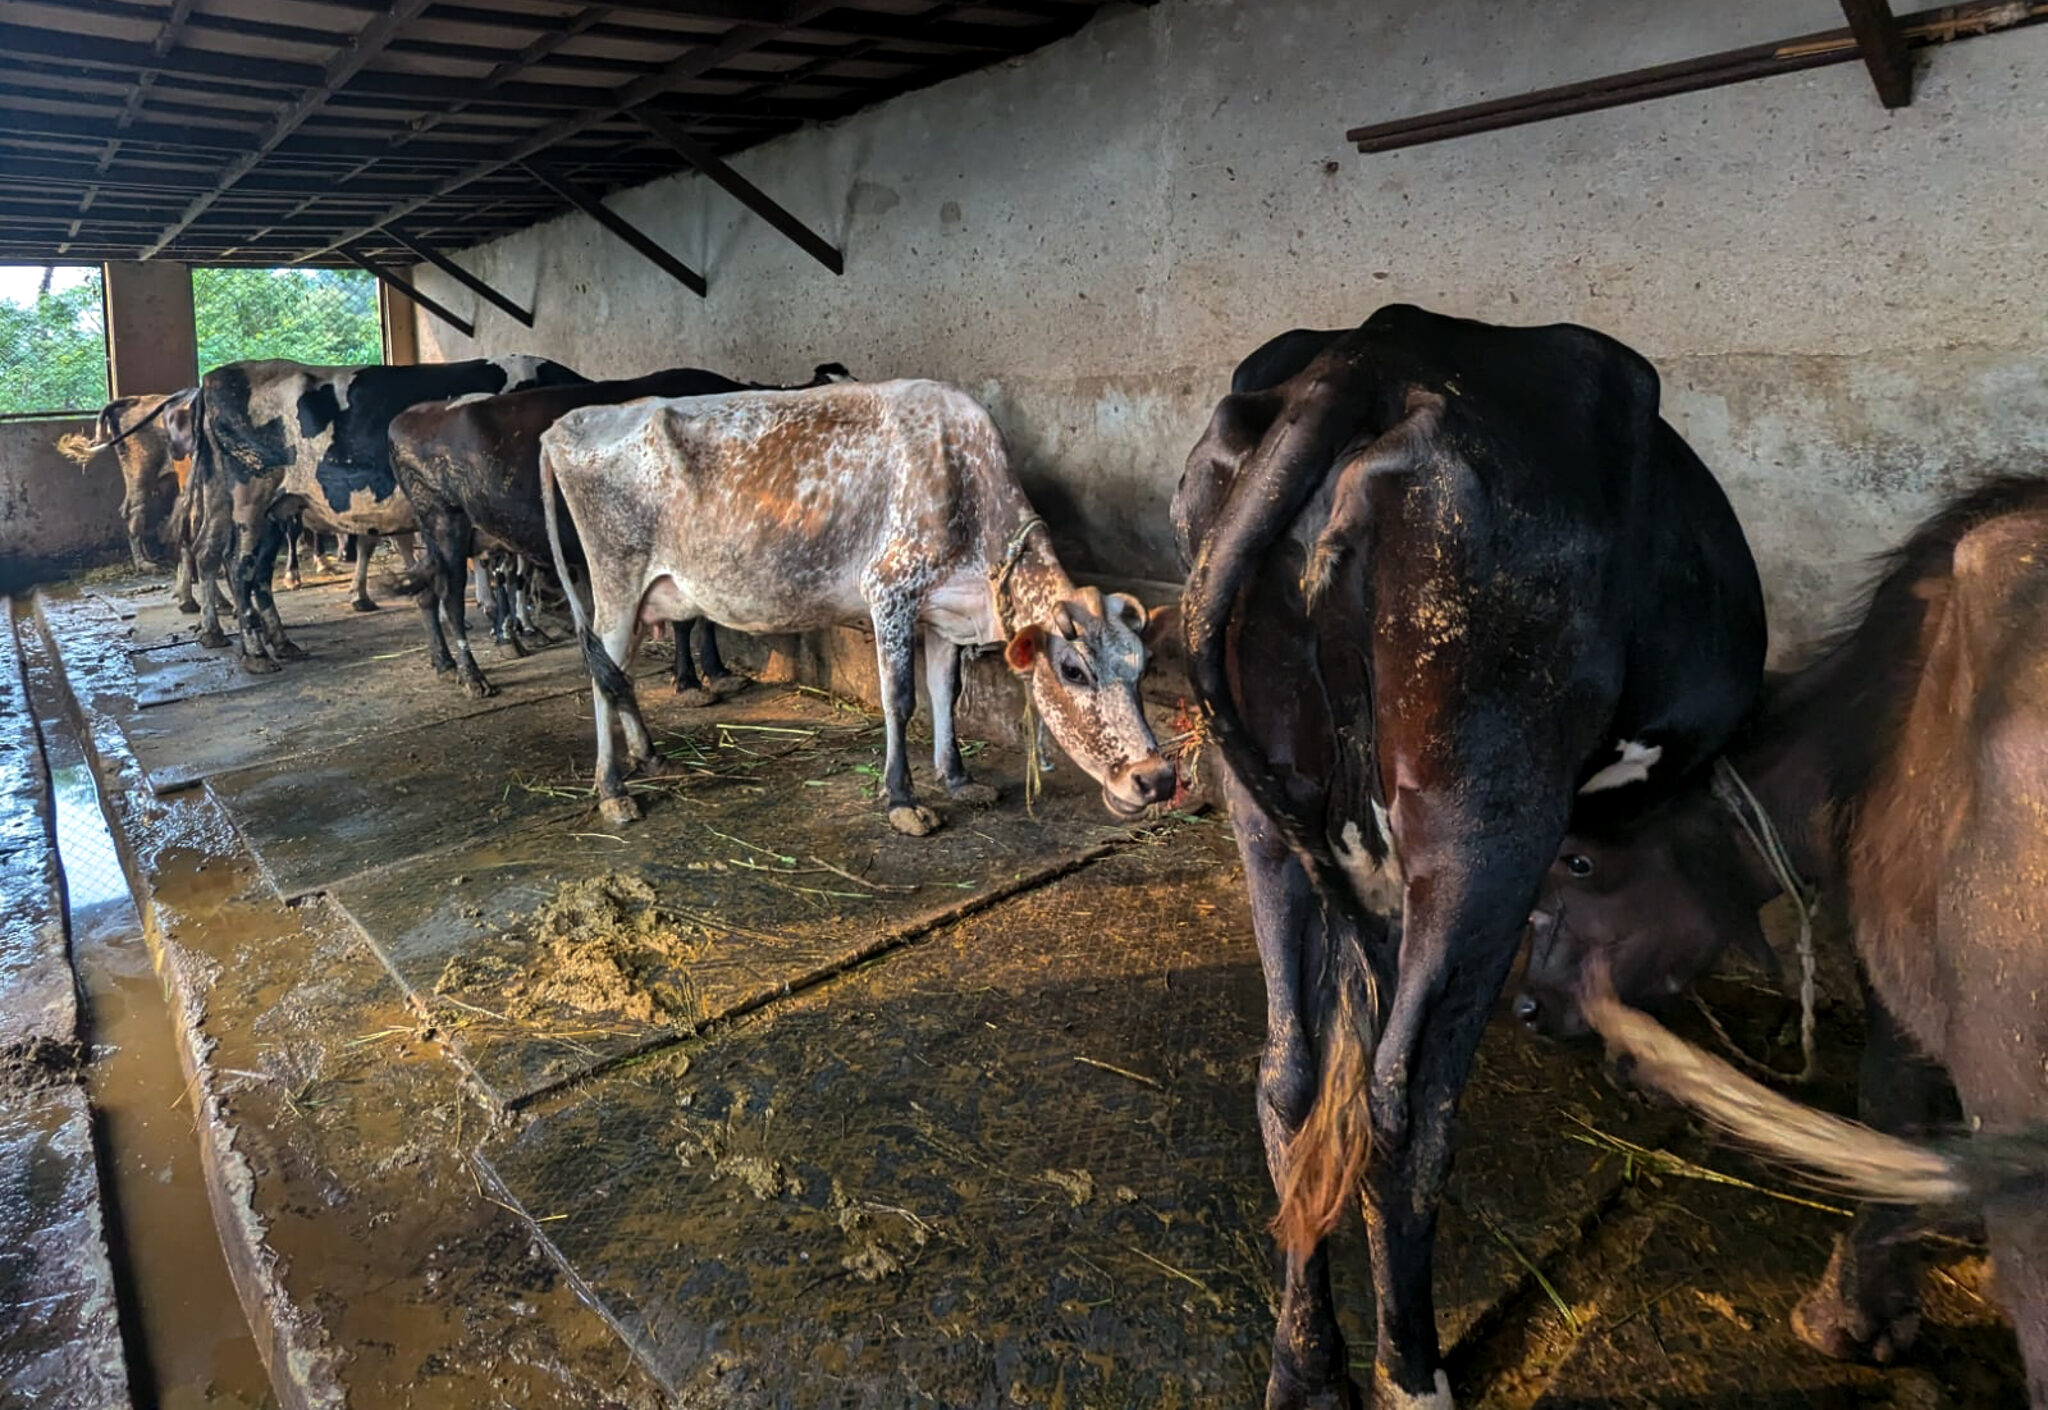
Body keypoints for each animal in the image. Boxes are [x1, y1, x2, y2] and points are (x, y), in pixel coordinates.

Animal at [186, 356, 583, 672]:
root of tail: (215, 377)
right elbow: (514, 571)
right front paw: (517, 633)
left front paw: (515, 629)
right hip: (251, 498)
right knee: (239, 566)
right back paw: (256, 653)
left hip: (263, 506)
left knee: (223, 558)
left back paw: (262, 639)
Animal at [388, 363, 853, 698]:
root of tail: (412, 414)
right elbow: (686, 619)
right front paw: (689, 681)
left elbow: (702, 616)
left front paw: (717, 672)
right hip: (444, 521)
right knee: (450, 598)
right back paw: (472, 676)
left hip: (455, 533)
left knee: (426, 590)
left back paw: (446, 664)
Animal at [539, 378, 1178, 833]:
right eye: (1073, 671)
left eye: (1142, 668)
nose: (1155, 779)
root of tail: (567, 422)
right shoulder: (890, 590)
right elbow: (901, 699)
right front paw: (902, 800)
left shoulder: (942, 611)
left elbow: (946, 691)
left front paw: (957, 778)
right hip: (615, 582)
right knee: (602, 675)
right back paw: (613, 790)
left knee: (617, 675)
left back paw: (649, 758)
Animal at [1173, 304, 1766, 1409]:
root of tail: (1368, 353)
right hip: (1484, 808)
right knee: (1406, 1110)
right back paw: (1411, 1370)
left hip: (1266, 813)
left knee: (1288, 1079)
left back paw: (1306, 1367)